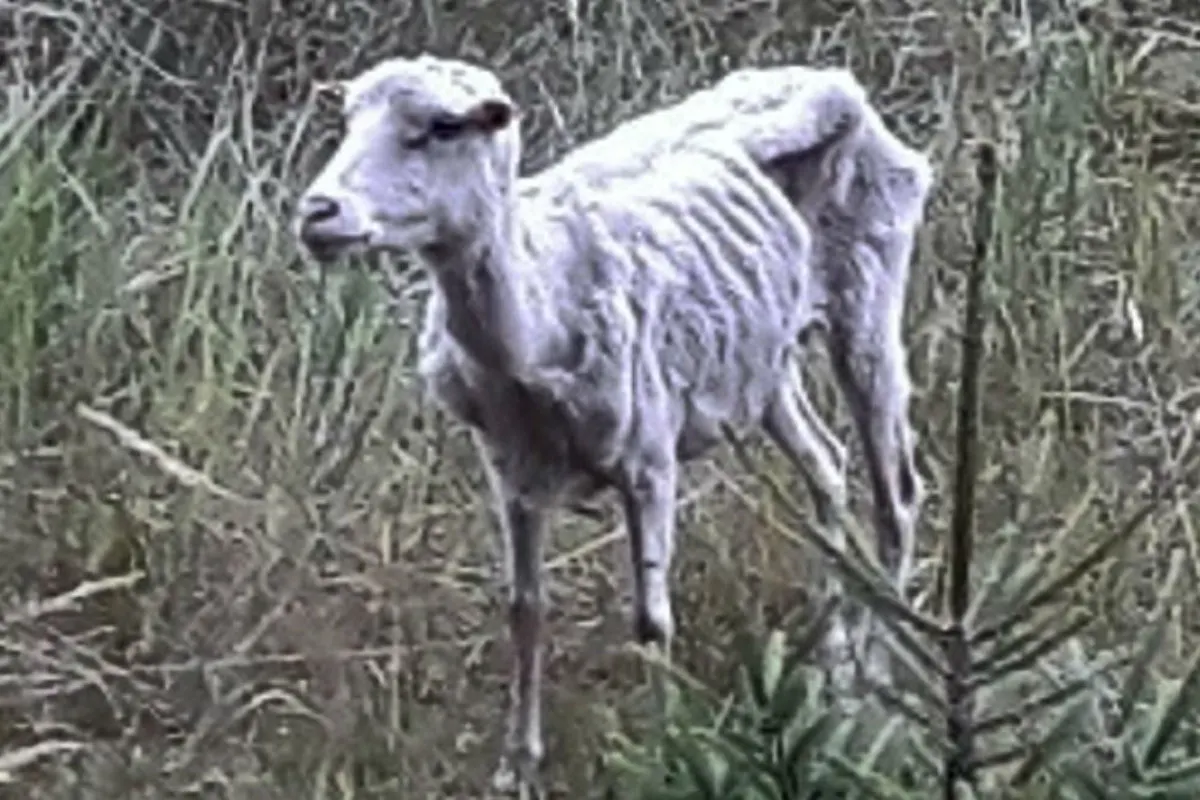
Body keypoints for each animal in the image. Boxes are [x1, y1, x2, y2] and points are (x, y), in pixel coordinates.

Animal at [293, 53, 932, 795]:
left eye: (441, 128)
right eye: (347, 119)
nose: (317, 213)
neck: (536, 311)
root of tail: (833, 82)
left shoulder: (650, 458)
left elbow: (651, 621)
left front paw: (670, 753)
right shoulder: (510, 469)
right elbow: (524, 609)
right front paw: (517, 767)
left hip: (869, 296)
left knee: (897, 496)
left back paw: (876, 681)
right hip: (763, 362)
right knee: (827, 465)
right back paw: (832, 662)